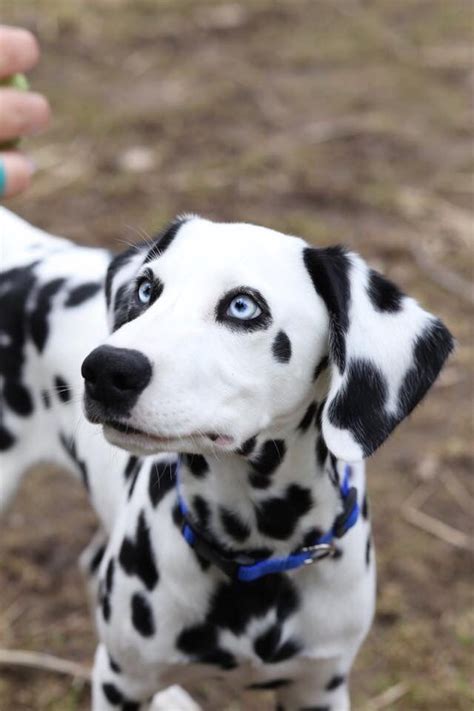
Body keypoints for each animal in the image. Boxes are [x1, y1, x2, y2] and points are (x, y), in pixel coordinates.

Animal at [0, 209, 452, 708]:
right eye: (146, 289)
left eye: (242, 307)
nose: (104, 368)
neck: (257, 551)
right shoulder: (121, 682)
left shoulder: (319, 687)